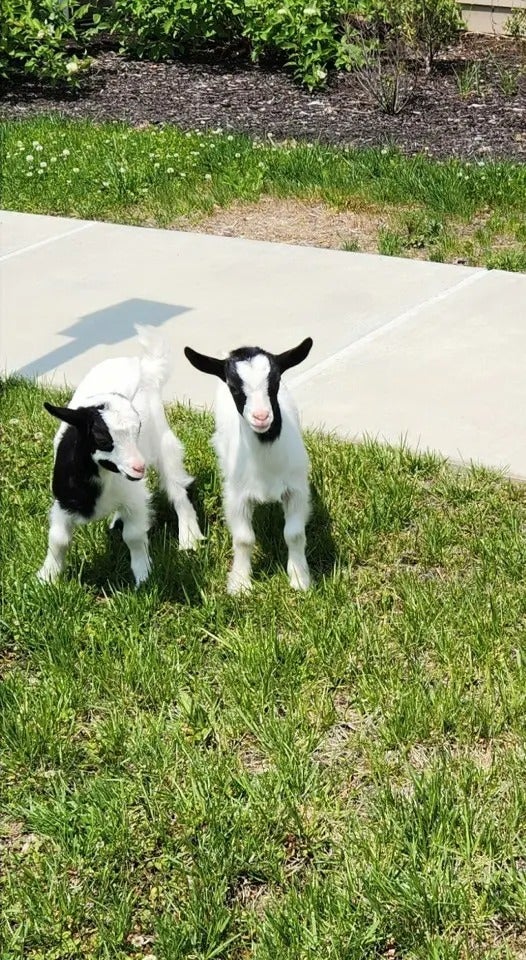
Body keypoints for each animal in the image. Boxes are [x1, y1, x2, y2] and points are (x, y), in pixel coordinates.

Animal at [38, 326, 203, 587]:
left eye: (138, 429)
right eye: (102, 438)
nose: (139, 467)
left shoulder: (135, 496)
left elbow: (134, 535)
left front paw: (143, 575)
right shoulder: (63, 502)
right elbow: (58, 539)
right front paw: (47, 577)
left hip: (163, 441)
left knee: (177, 488)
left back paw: (189, 538)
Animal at [184, 337, 313, 594]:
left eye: (275, 382)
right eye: (233, 387)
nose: (261, 417)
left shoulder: (296, 490)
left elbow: (293, 534)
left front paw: (299, 578)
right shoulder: (237, 497)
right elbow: (244, 539)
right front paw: (240, 584)